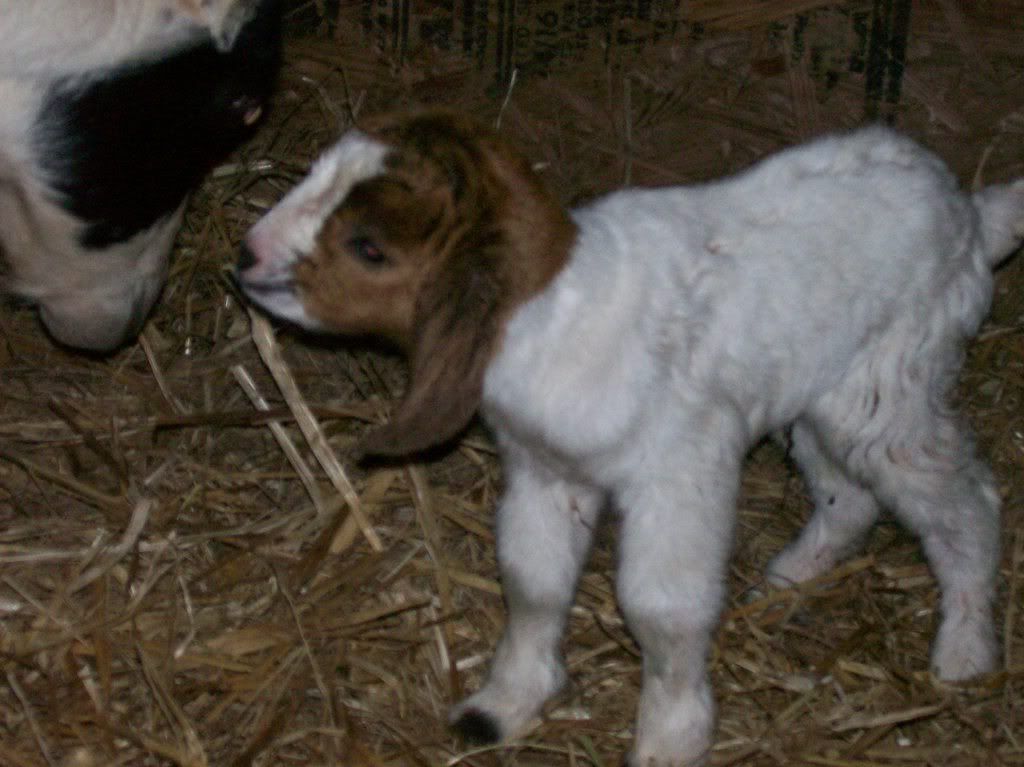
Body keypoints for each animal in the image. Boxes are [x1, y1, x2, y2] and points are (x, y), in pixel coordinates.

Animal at [237, 110, 1024, 766]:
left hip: (893, 380)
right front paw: (502, 706)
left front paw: (670, 740)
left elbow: (661, 608)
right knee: (847, 491)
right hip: (822, 392)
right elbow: (532, 581)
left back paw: (963, 648)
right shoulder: (546, 471)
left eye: (369, 247)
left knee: (963, 496)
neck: (554, 310)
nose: (248, 256)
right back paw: (793, 573)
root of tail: (971, 213)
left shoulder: (680, 471)